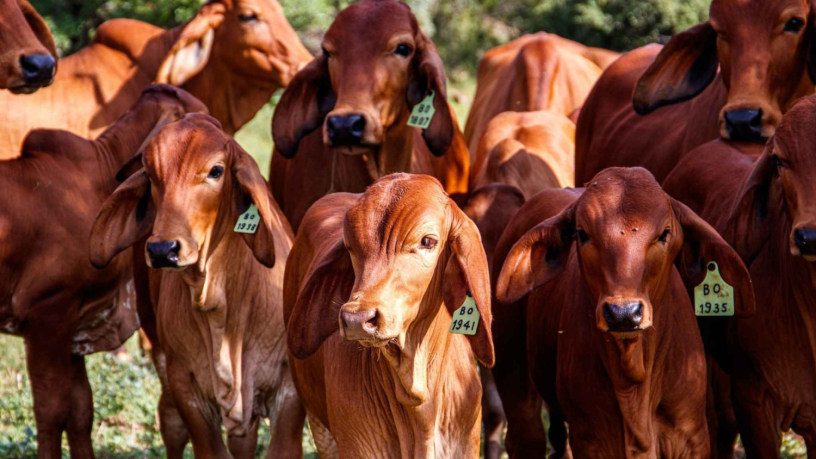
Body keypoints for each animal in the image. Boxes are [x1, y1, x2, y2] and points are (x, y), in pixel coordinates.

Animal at [89, 114, 301, 458]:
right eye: (150, 174)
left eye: (216, 170)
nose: (163, 249)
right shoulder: (188, 392)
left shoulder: (289, 392)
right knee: (169, 421)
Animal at [492, 167, 754, 458]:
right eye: (582, 234)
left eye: (664, 233)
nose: (623, 313)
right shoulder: (592, 441)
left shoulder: (692, 438)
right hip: (514, 383)